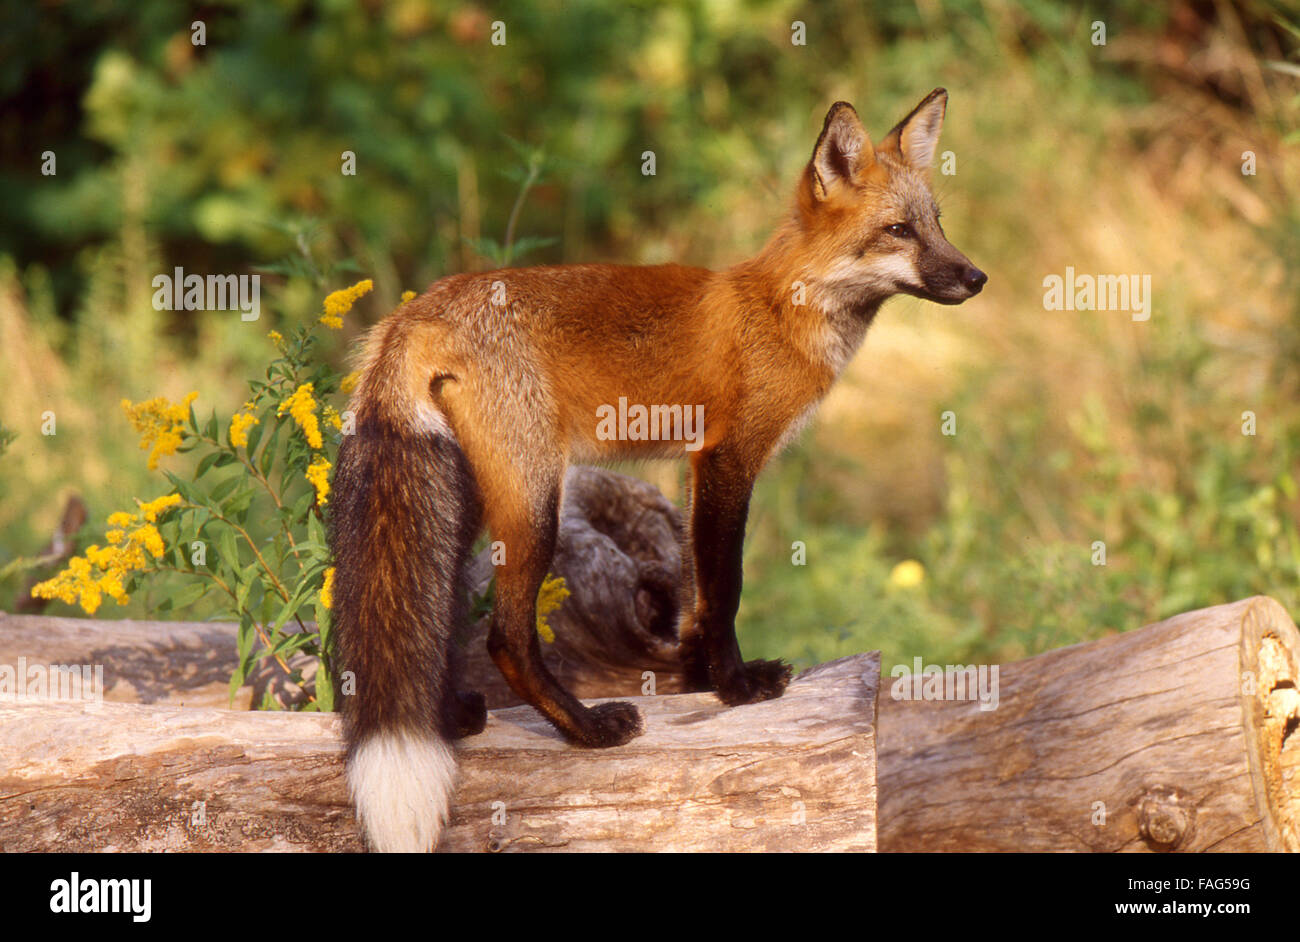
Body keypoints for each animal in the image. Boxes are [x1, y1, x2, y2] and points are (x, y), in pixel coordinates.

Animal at [329, 88, 986, 852]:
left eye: (937, 224)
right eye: (897, 231)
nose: (977, 277)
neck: (782, 309)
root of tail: (416, 312)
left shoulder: (696, 468)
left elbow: (698, 597)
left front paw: (702, 682)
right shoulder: (731, 458)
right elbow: (726, 589)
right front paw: (738, 688)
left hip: (462, 504)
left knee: (440, 619)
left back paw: (452, 718)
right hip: (535, 502)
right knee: (505, 639)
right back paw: (587, 729)